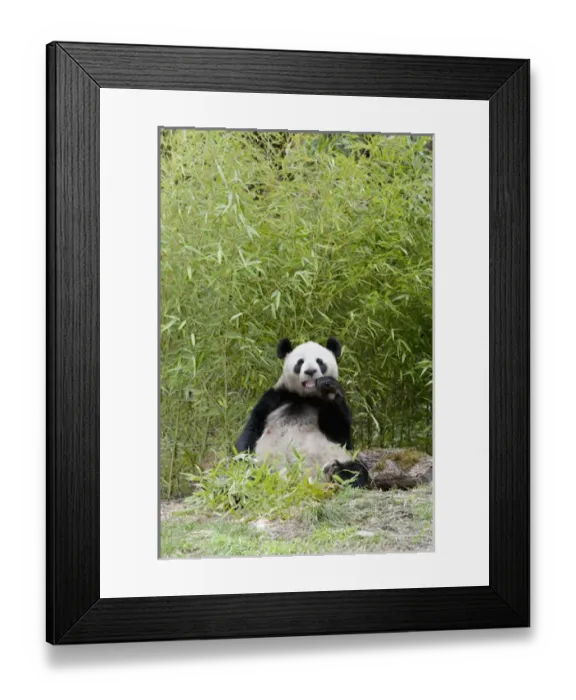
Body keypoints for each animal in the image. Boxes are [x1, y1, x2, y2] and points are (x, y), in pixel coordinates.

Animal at [235, 337, 370, 488]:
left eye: (320, 361)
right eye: (300, 362)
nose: (310, 371)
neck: (305, 397)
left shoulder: (327, 407)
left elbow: (342, 435)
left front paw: (329, 386)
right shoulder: (274, 399)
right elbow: (252, 429)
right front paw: (241, 457)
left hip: (334, 456)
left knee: (355, 469)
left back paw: (335, 471)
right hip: (265, 464)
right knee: (251, 471)